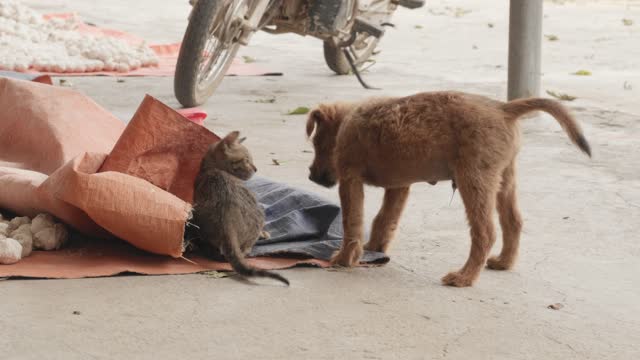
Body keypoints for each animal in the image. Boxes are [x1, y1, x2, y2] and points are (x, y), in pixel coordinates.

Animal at [191, 131, 288, 286]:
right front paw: (265, 233)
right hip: (259, 214)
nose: (256, 168)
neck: (211, 169)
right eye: (247, 160)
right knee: (244, 250)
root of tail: (227, 218)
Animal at [304, 92, 592, 286]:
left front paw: (344, 258)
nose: (311, 176)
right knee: (513, 221)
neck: (348, 121)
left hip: (473, 180)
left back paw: (464, 277)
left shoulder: (349, 179)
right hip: (503, 179)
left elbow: (352, 221)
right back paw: (503, 262)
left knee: (485, 232)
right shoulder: (399, 187)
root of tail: (504, 108)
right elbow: (383, 220)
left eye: (317, 144)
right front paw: (374, 248)